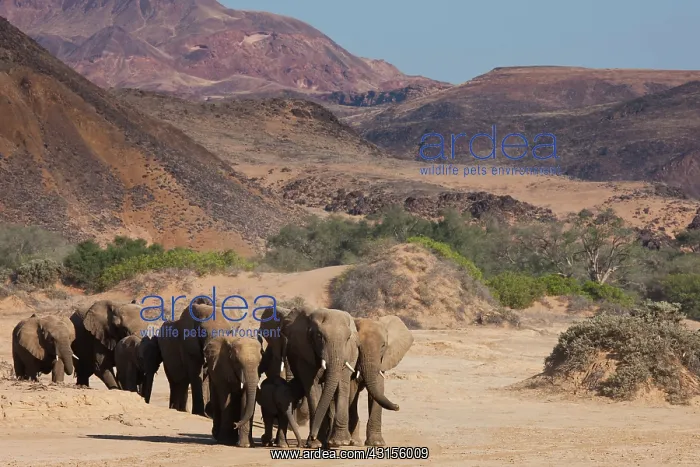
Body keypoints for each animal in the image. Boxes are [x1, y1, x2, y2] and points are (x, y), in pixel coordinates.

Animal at [259, 305, 359, 448]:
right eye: (319, 336)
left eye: (348, 338)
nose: (313, 435)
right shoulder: (304, 352)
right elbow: (313, 387)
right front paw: (315, 443)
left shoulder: (349, 352)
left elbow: (342, 386)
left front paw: (340, 442)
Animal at [348, 315, 414, 446]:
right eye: (358, 346)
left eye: (383, 346)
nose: (397, 406)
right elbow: (352, 389)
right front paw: (354, 442)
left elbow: (378, 388)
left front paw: (377, 443)